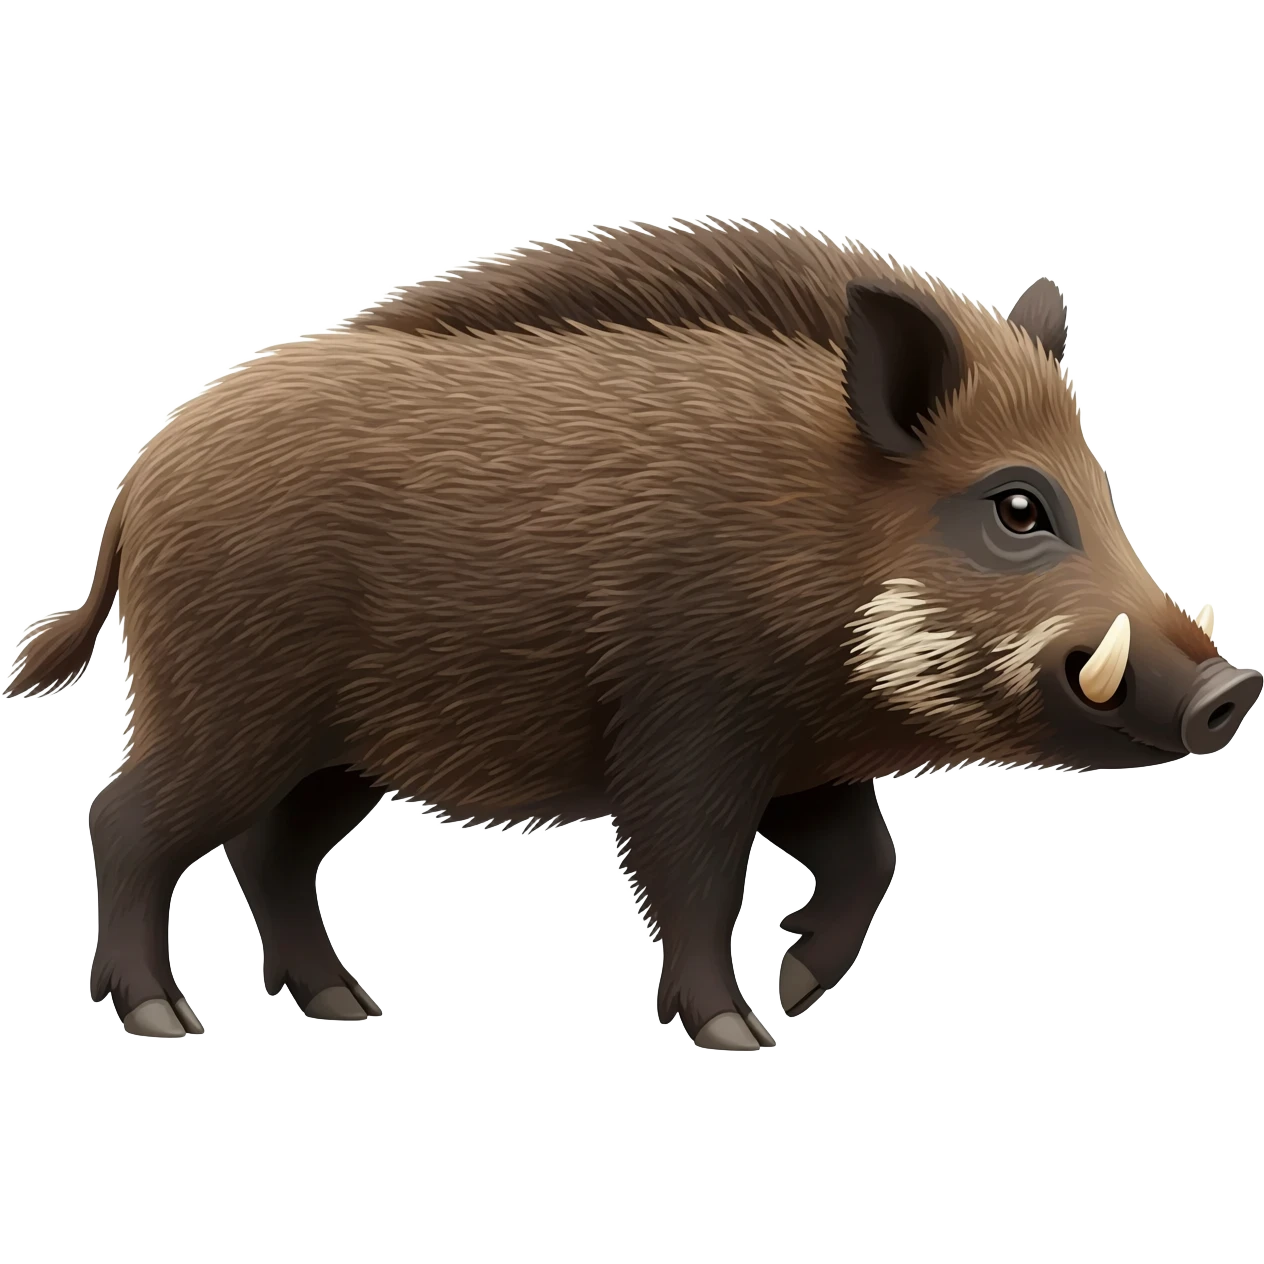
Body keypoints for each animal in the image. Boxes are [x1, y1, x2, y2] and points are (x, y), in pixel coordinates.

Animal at [5, 216, 1259, 1048]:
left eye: (1098, 487)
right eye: (1017, 506)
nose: (1229, 690)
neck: (820, 542)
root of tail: (137, 484)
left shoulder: (803, 759)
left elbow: (867, 858)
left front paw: (797, 990)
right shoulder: (686, 732)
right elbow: (692, 874)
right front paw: (740, 1030)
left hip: (336, 750)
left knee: (272, 851)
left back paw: (348, 1006)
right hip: (224, 704)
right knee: (126, 821)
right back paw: (165, 1018)